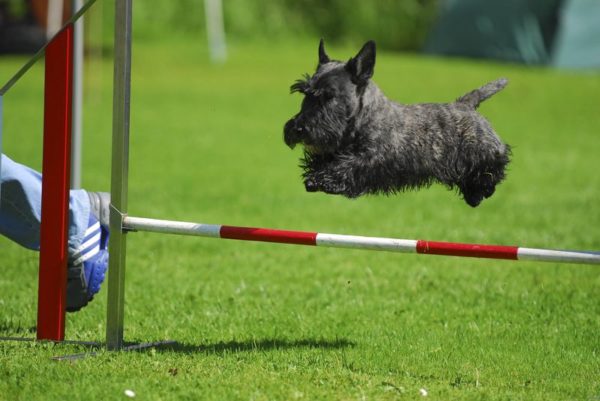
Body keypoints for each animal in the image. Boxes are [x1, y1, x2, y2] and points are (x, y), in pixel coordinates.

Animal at [284, 39, 508, 206]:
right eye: (303, 92)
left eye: (329, 96)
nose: (298, 129)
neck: (363, 119)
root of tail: (466, 104)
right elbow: (322, 162)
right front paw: (315, 174)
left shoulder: (372, 158)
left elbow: (345, 167)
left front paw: (320, 179)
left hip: (484, 152)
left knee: (495, 166)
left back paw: (480, 191)